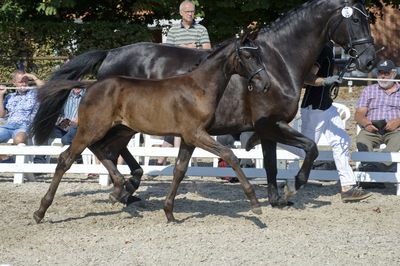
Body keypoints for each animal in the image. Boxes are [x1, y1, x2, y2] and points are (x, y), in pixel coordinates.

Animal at [33, 33, 268, 224]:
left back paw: (118, 189)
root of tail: (90, 86)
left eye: (259, 55)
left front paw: (169, 213)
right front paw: (255, 204)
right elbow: (230, 155)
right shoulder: (196, 134)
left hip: (116, 129)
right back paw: (40, 211)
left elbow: (179, 170)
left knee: (101, 149)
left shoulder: (188, 138)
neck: (199, 88)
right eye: (248, 56)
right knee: (66, 159)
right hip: (92, 129)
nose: (264, 84)